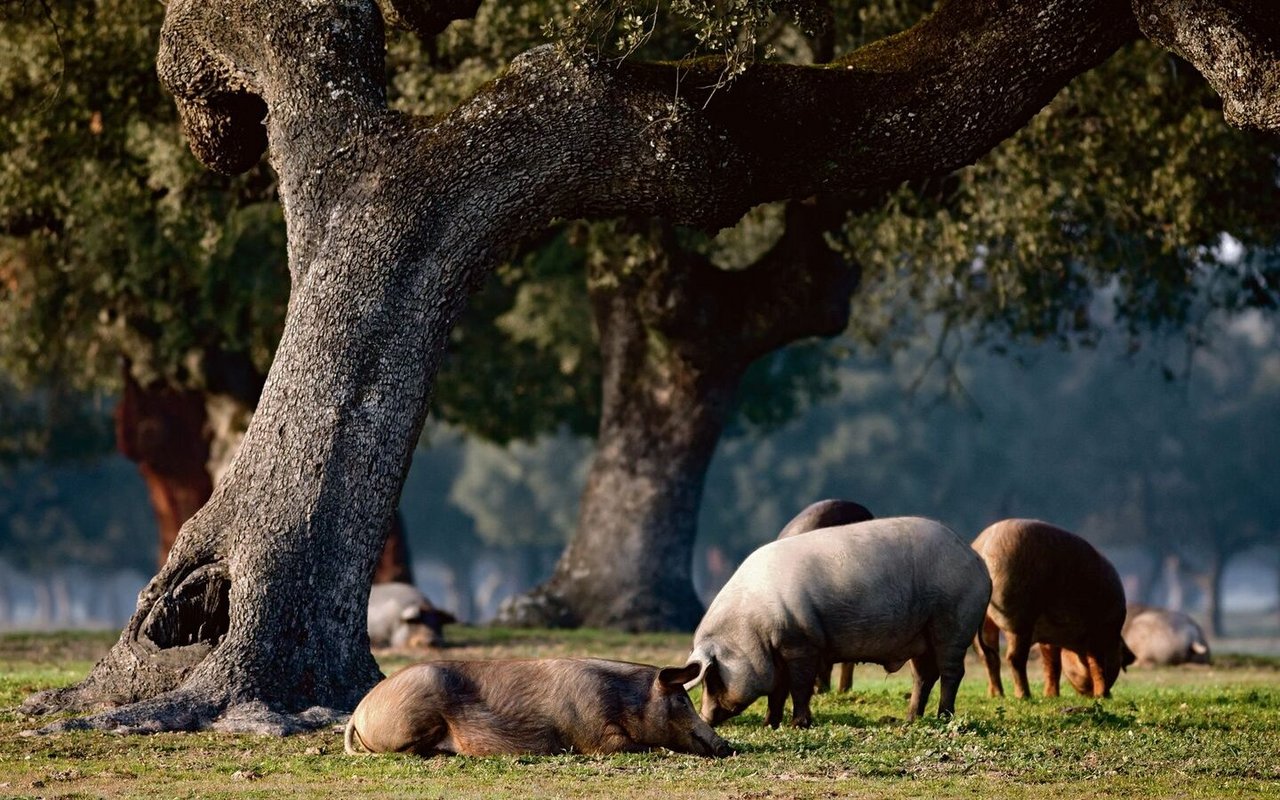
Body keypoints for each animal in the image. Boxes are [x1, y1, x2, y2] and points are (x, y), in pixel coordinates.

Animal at [972, 517, 1136, 696]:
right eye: (1120, 656)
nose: (1087, 694)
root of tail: (984, 548)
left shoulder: (1049, 637)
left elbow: (1053, 664)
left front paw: (1051, 696)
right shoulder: (1098, 631)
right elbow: (1097, 664)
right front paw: (1103, 696)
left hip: (984, 622)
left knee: (989, 657)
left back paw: (997, 696)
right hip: (1018, 619)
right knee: (1013, 658)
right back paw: (1024, 696)